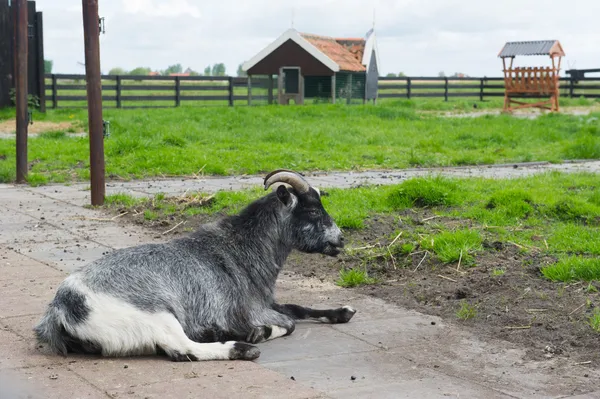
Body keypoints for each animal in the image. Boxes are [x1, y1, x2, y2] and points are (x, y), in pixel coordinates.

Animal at [34, 169, 356, 362]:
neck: (243, 247)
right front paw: (257, 333)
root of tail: (63, 307)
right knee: (181, 349)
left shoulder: (265, 302)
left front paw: (343, 312)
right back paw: (241, 346)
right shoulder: (251, 308)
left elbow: (297, 308)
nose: (340, 238)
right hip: (156, 314)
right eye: (312, 210)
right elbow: (289, 323)